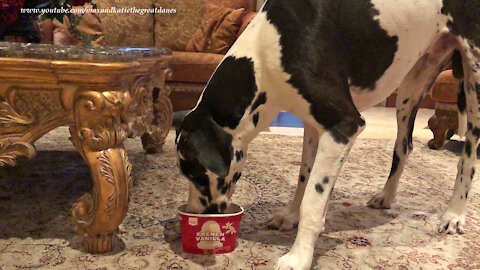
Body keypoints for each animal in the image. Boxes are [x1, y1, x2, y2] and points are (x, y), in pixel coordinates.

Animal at [176, 0, 480, 268]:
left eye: (195, 174)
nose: (194, 213)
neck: (267, 54)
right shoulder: (315, 127)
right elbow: (305, 176)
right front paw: (291, 215)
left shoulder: (344, 126)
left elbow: (313, 199)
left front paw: (299, 256)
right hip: (411, 84)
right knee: (404, 146)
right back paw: (386, 196)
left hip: (473, 81)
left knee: (468, 157)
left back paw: (454, 214)